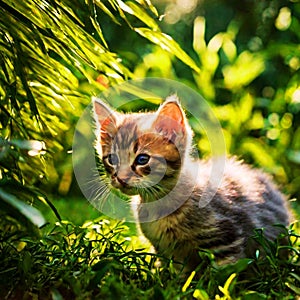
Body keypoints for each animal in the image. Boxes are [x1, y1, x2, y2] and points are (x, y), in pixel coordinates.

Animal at [92, 95, 290, 270]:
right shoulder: (168, 252)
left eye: (142, 159)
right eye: (112, 159)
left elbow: (225, 275)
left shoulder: (225, 239)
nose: (120, 178)